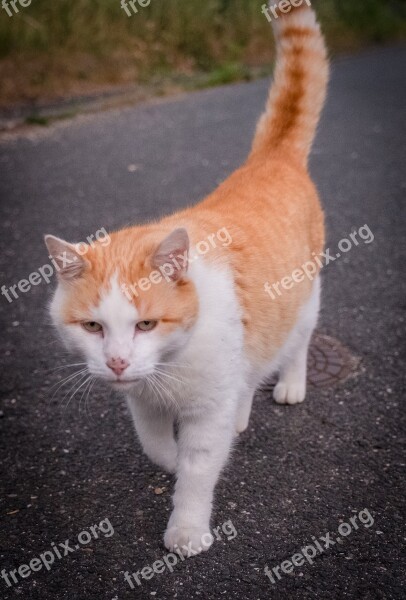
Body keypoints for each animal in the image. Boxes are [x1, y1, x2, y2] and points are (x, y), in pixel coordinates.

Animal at [44, 4, 330, 556]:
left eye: (147, 324)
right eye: (92, 327)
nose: (116, 362)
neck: (170, 373)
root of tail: (271, 159)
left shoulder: (205, 409)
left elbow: (198, 472)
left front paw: (187, 528)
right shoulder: (143, 403)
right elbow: (157, 448)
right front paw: (172, 461)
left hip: (304, 302)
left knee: (296, 343)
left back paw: (290, 383)